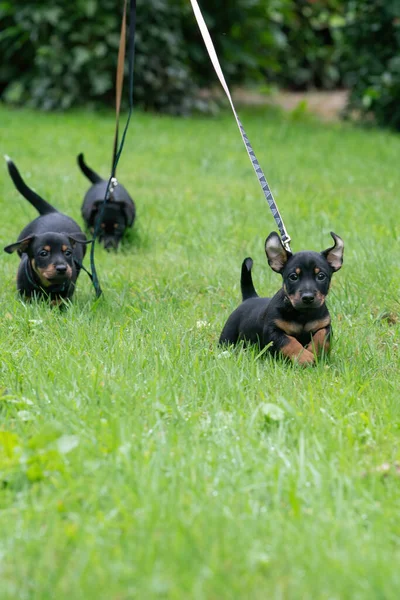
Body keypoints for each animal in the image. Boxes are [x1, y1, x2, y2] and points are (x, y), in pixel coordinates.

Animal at [219, 231, 344, 366]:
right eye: (293, 276)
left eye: (321, 276)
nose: (308, 298)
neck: (302, 314)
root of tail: (250, 297)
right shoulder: (272, 332)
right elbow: (290, 342)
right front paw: (304, 357)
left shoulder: (326, 326)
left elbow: (321, 336)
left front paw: (314, 352)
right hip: (228, 335)